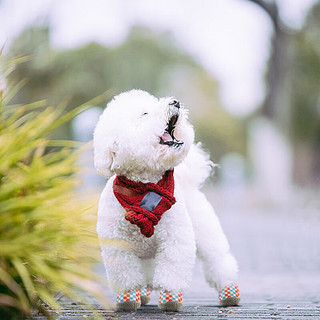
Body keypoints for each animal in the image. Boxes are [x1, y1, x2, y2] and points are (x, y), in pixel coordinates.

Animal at [94, 90, 239, 312]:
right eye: (145, 113)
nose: (175, 102)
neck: (144, 187)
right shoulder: (118, 246)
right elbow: (126, 274)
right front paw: (128, 298)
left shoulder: (175, 239)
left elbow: (173, 269)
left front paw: (170, 297)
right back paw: (143, 293)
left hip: (205, 231)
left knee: (218, 260)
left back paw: (229, 292)